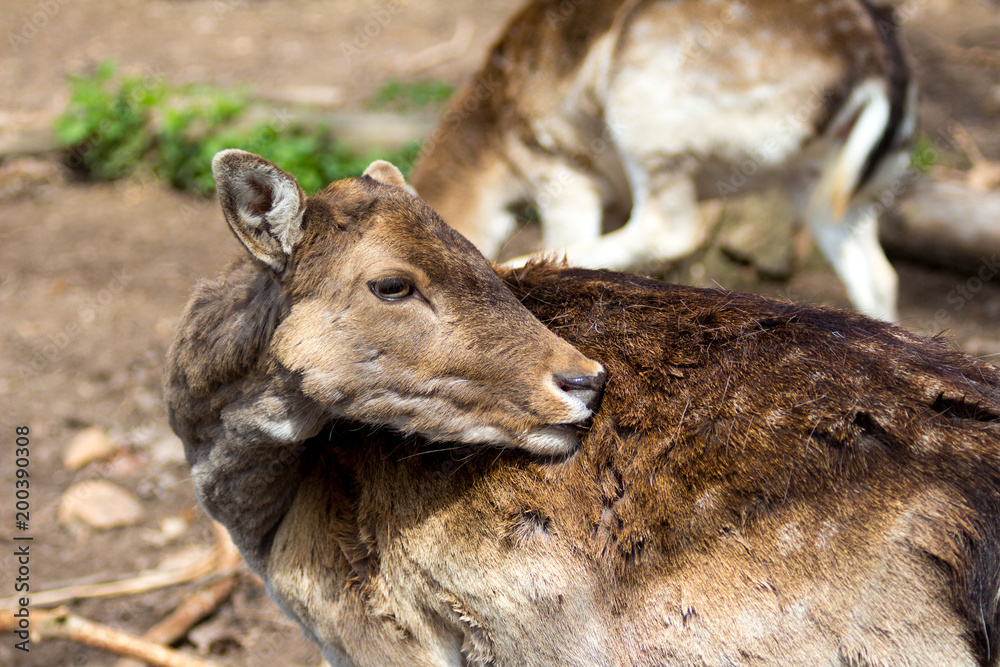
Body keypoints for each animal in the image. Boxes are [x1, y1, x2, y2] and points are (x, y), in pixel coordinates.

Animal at [409, 0, 917, 322]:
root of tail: (880, 70)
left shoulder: (559, 170)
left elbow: (567, 239)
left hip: (646, 111)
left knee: (674, 228)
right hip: (840, 182)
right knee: (878, 273)